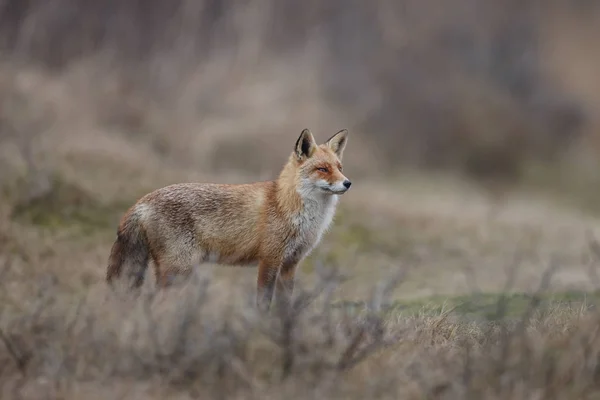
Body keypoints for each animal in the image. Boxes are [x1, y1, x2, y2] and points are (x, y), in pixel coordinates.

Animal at [106, 130, 352, 310]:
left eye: (339, 168)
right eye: (322, 169)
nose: (347, 183)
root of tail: (141, 201)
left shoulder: (291, 263)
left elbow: (285, 307)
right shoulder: (270, 259)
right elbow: (263, 303)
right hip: (179, 270)